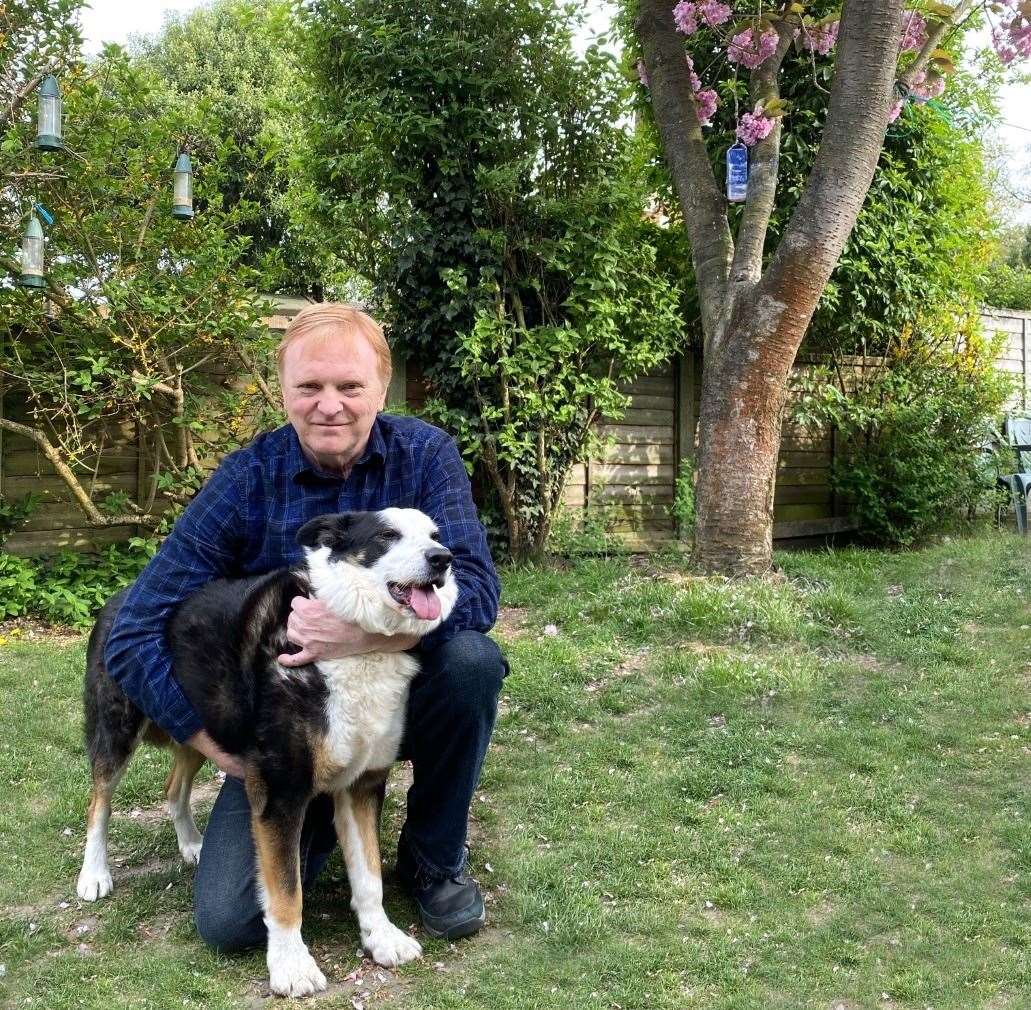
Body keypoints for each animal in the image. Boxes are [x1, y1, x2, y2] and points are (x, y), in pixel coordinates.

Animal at [76, 509, 455, 997]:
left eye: (435, 535)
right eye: (387, 536)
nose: (442, 559)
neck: (356, 643)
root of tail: (122, 596)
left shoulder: (362, 784)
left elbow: (370, 877)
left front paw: (382, 937)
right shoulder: (280, 795)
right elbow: (286, 893)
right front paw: (292, 966)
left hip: (200, 725)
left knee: (173, 786)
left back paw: (192, 844)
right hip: (117, 727)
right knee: (99, 803)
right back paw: (94, 874)